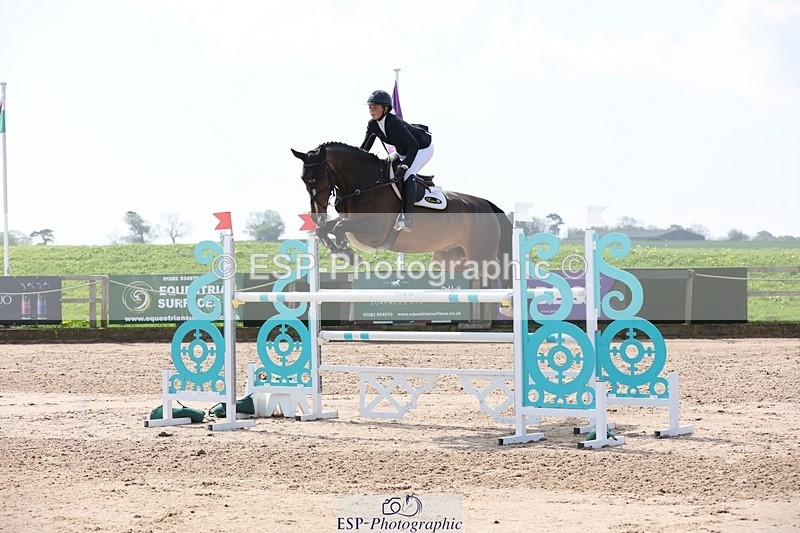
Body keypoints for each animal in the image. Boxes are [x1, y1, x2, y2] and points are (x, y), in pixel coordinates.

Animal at [290, 142, 513, 285]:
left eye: (319, 177)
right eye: (303, 178)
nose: (316, 216)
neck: (367, 185)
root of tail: (488, 205)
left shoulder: (375, 233)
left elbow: (339, 227)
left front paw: (349, 254)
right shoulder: (353, 222)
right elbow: (325, 229)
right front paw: (336, 250)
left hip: (482, 257)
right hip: (448, 257)